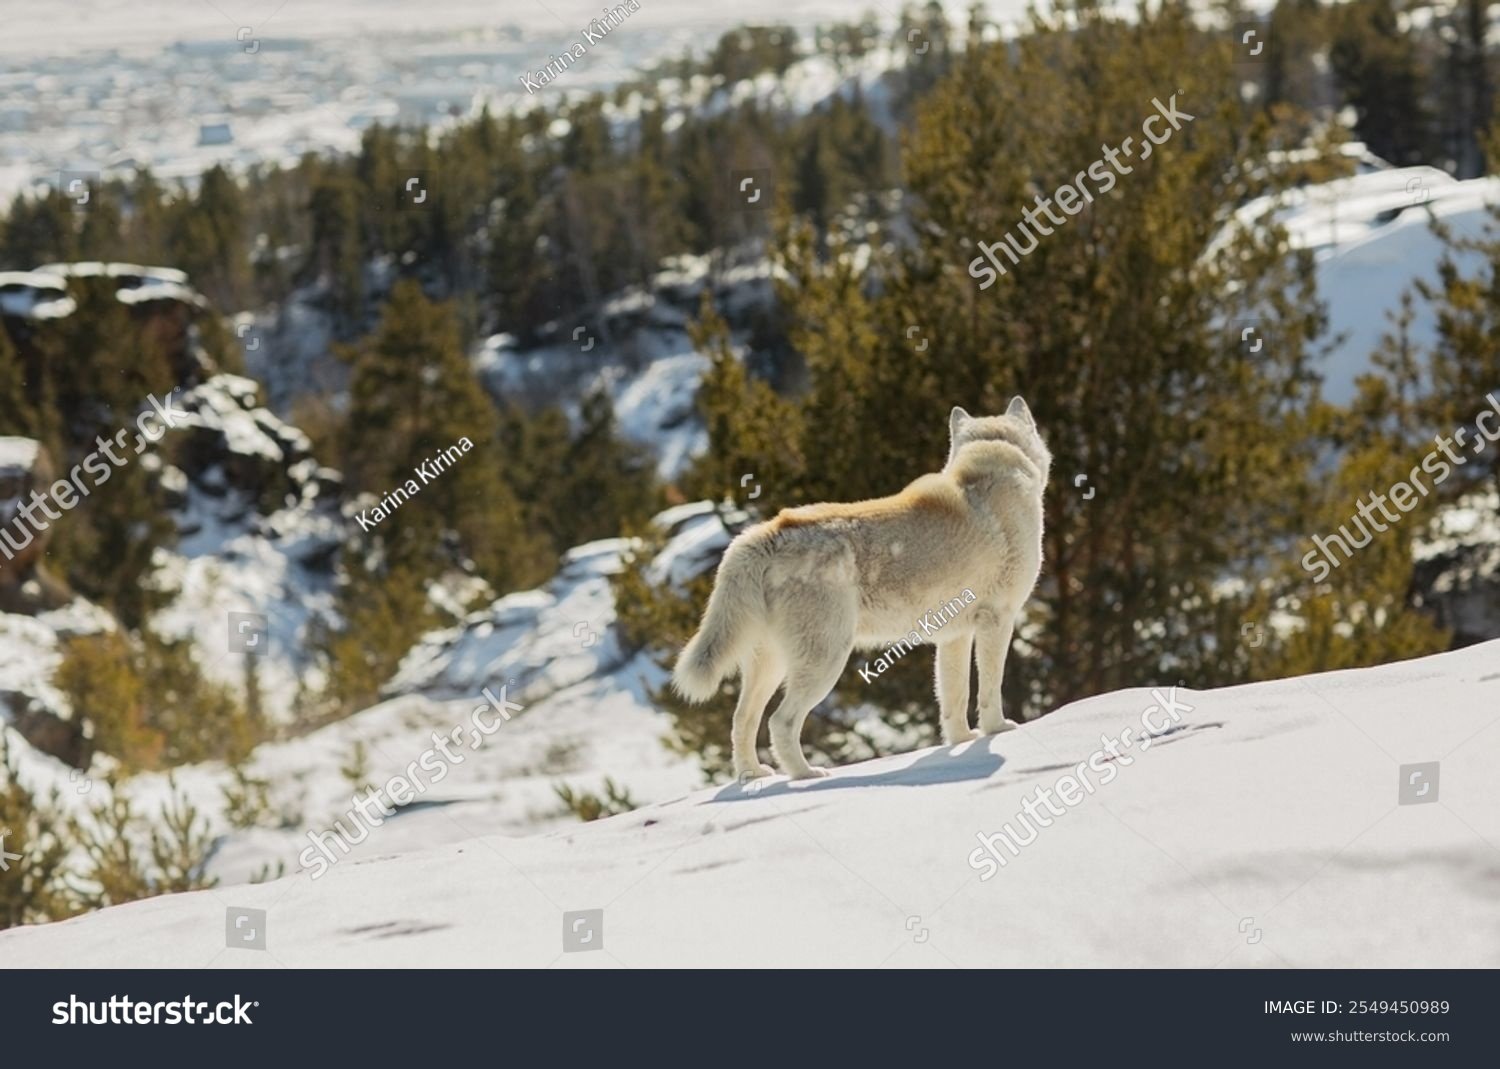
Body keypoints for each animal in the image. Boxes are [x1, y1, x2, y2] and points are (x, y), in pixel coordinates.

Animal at [672, 397, 1051, 780]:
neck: (998, 459)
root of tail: (764, 535)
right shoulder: (997, 620)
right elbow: (990, 689)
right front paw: (998, 729)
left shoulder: (954, 637)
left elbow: (954, 698)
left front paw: (960, 741)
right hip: (825, 660)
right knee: (780, 722)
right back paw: (807, 775)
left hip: (772, 665)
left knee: (742, 721)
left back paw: (755, 775)